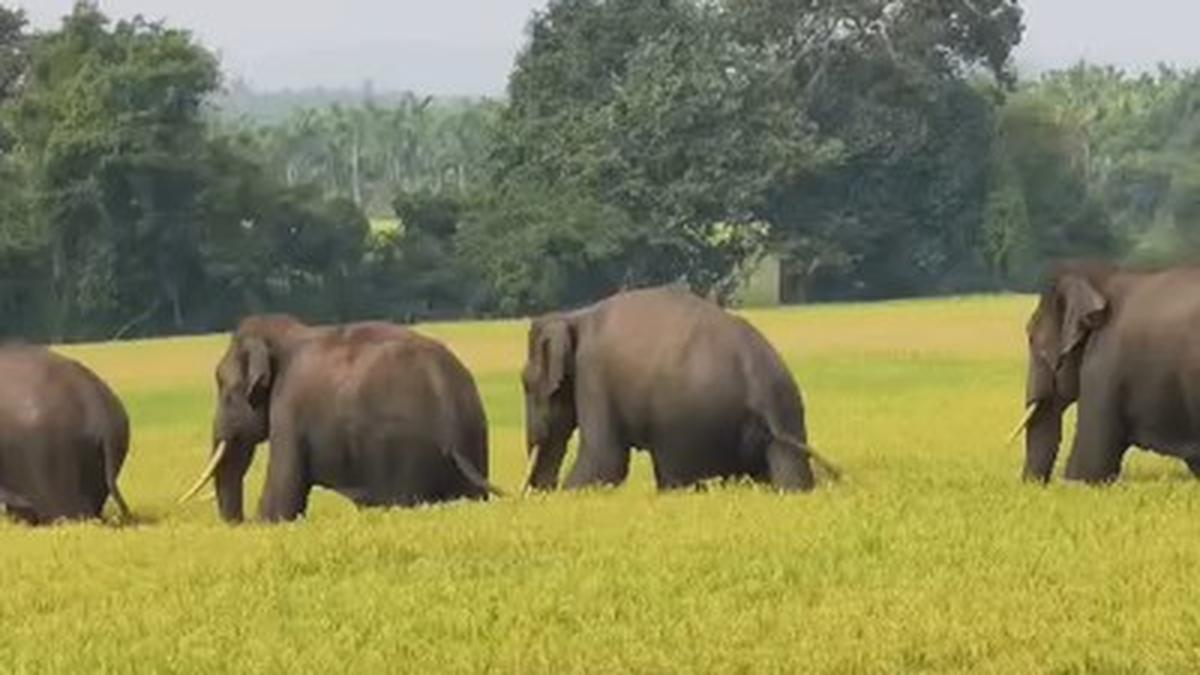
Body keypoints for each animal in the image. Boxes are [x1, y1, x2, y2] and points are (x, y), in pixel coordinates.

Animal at [179, 315, 503, 523]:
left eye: (225, 391)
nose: (238, 522)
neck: (284, 335)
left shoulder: (290, 405)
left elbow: (284, 494)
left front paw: (264, 521)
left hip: (405, 450)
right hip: (475, 439)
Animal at [521, 286, 839, 493]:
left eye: (525, 382)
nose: (534, 494)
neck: (573, 317)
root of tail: (758, 390)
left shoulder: (593, 372)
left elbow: (604, 461)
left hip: (688, 421)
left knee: (675, 473)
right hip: (786, 410)